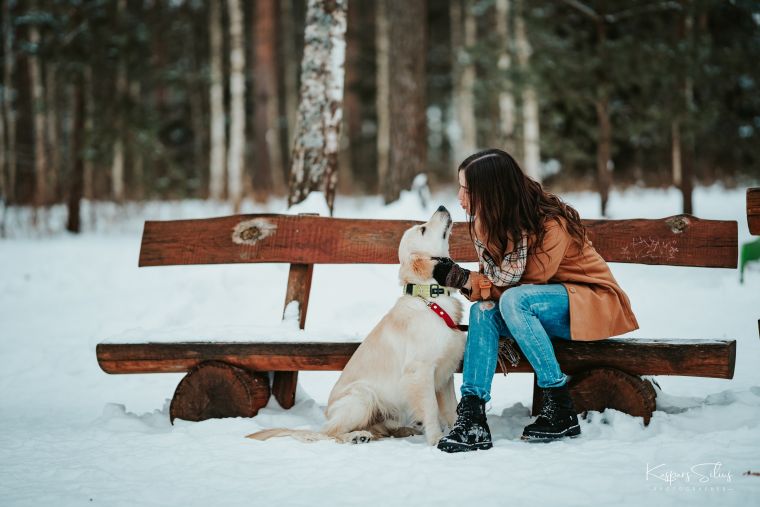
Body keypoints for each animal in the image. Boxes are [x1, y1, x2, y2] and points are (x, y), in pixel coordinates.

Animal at [246, 205, 466, 444]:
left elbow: (452, 409)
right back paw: (357, 436)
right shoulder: (420, 371)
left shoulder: (445, 374)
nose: (442, 207)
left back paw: (398, 431)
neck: (431, 299)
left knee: (378, 430)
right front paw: (436, 440)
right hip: (362, 397)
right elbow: (431, 409)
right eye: (424, 229)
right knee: (331, 433)